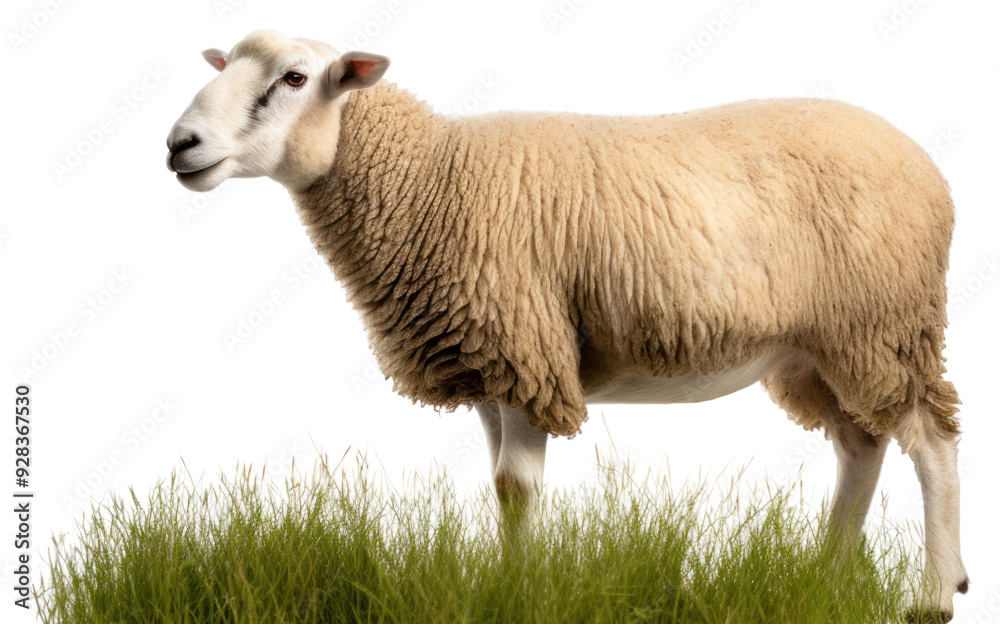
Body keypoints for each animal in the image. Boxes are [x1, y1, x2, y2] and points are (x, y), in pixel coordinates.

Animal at [166, 30, 967, 620]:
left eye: (295, 78)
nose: (180, 144)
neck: (429, 179)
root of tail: (928, 167)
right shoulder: (489, 358)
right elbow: (499, 484)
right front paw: (506, 583)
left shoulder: (526, 347)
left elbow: (516, 488)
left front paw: (519, 595)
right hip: (823, 349)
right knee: (862, 445)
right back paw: (827, 577)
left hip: (883, 321)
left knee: (929, 442)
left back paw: (934, 592)